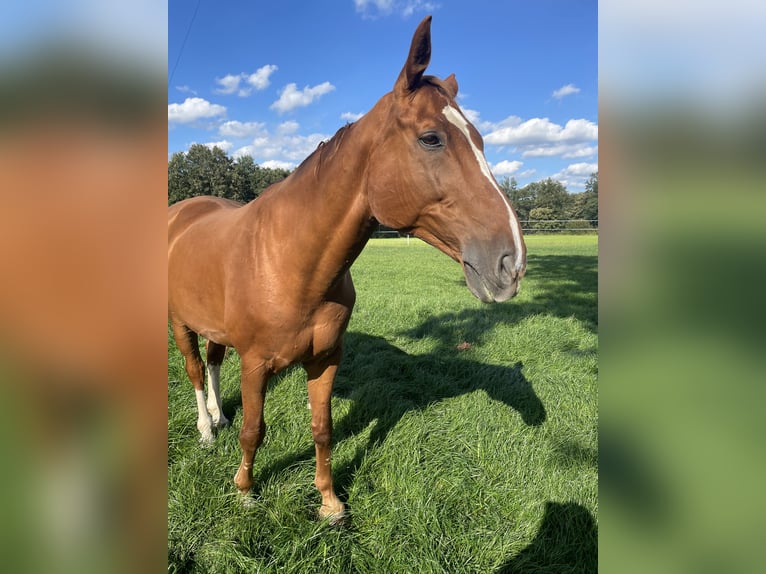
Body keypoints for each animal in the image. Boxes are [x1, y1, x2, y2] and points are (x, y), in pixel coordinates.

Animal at [168, 15, 528, 524]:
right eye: (431, 138)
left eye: (480, 140)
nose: (510, 262)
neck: (290, 262)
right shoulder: (256, 365)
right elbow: (254, 430)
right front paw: (244, 491)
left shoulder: (325, 359)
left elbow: (322, 429)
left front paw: (329, 501)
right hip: (179, 323)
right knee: (196, 371)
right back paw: (205, 429)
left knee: (215, 363)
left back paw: (219, 415)